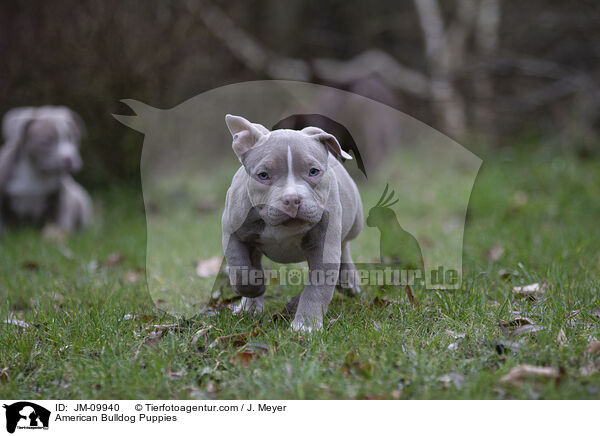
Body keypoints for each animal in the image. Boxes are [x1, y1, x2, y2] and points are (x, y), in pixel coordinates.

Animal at [0, 106, 91, 235]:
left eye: (74, 138)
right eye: (46, 141)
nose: (69, 159)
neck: (36, 172)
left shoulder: (60, 197)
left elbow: (62, 219)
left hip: (80, 198)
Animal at [220, 114, 360, 332]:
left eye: (313, 171)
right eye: (263, 175)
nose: (292, 199)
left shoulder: (324, 248)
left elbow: (317, 289)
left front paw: (306, 326)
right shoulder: (232, 232)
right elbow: (240, 270)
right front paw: (254, 288)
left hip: (354, 222)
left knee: (344, 244)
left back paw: (348, 280)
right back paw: (249, 308)